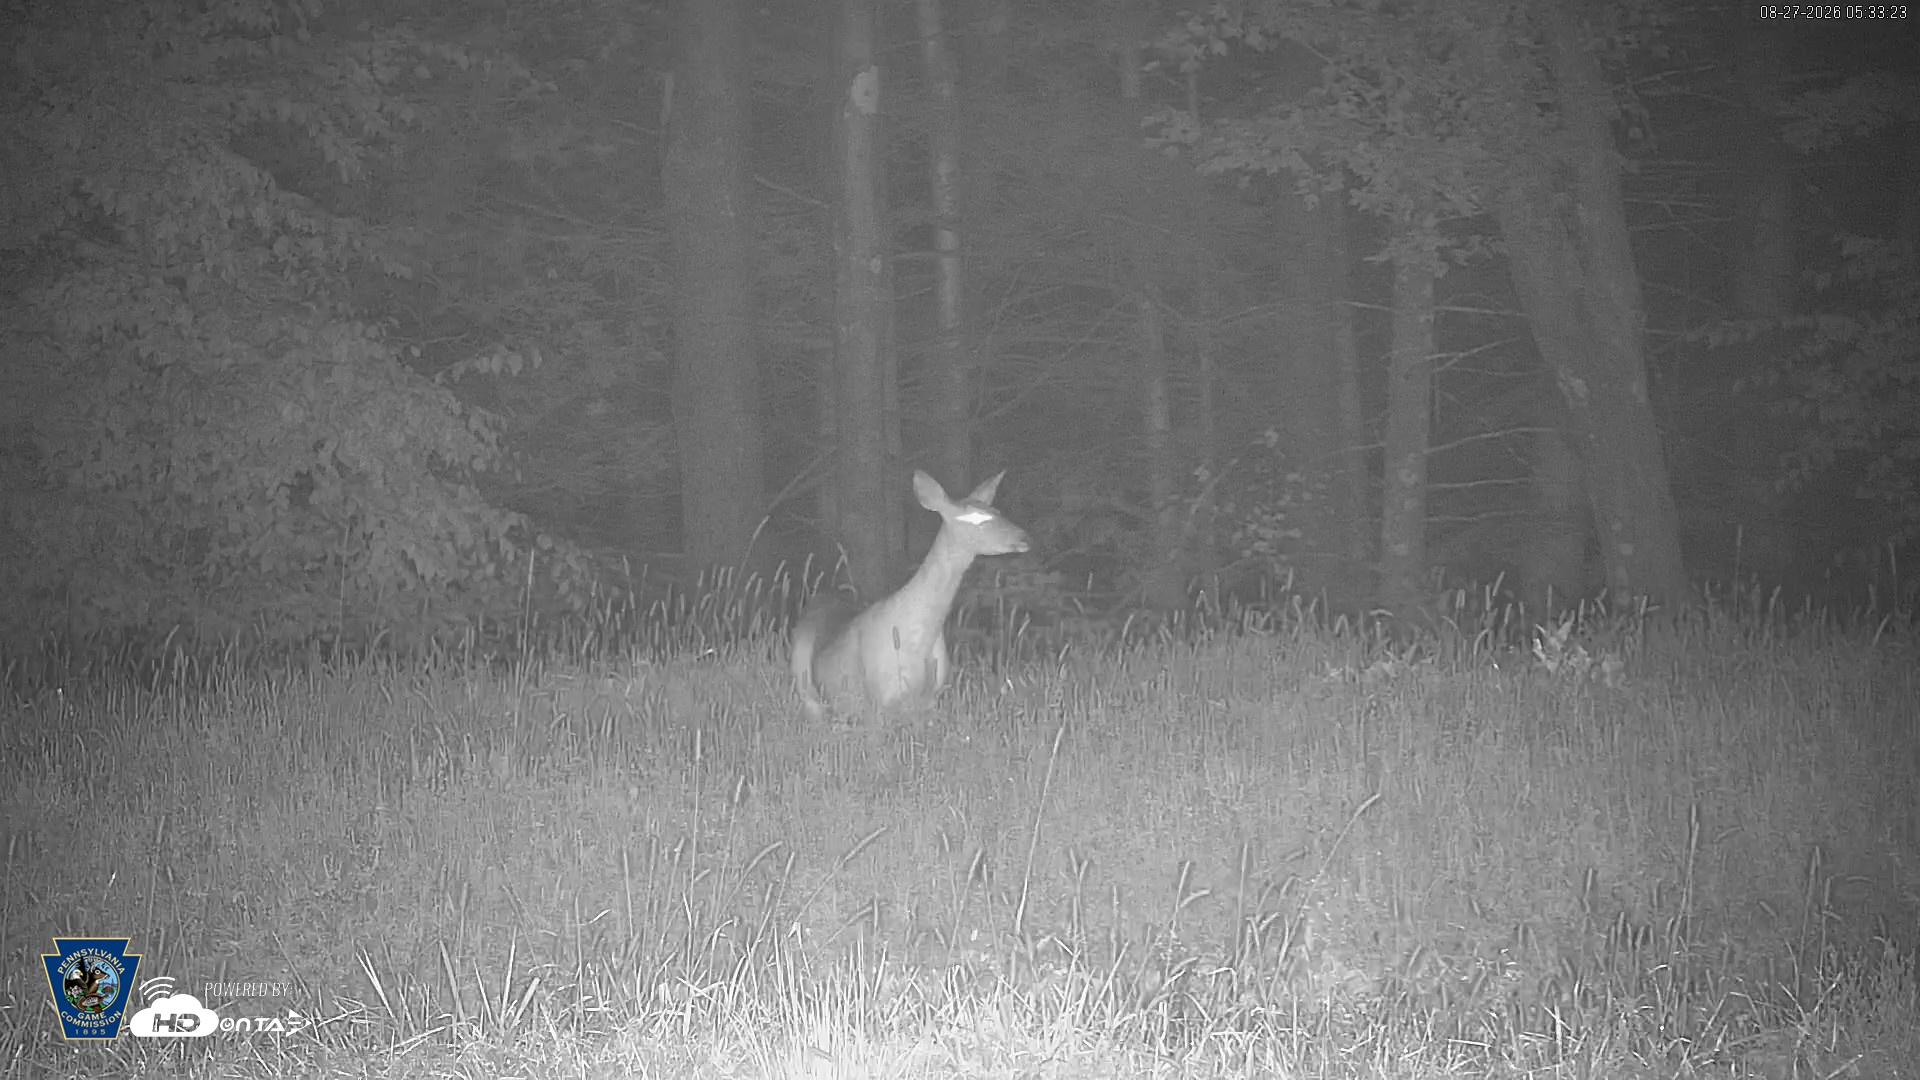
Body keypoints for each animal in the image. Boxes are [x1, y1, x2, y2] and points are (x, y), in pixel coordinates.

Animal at [790, 470, 1031, 723]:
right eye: (975, 518)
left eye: (998, 511)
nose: (1024, 537)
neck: (918, 640)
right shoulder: (879, 700)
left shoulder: (930, 700)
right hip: (806, 689)